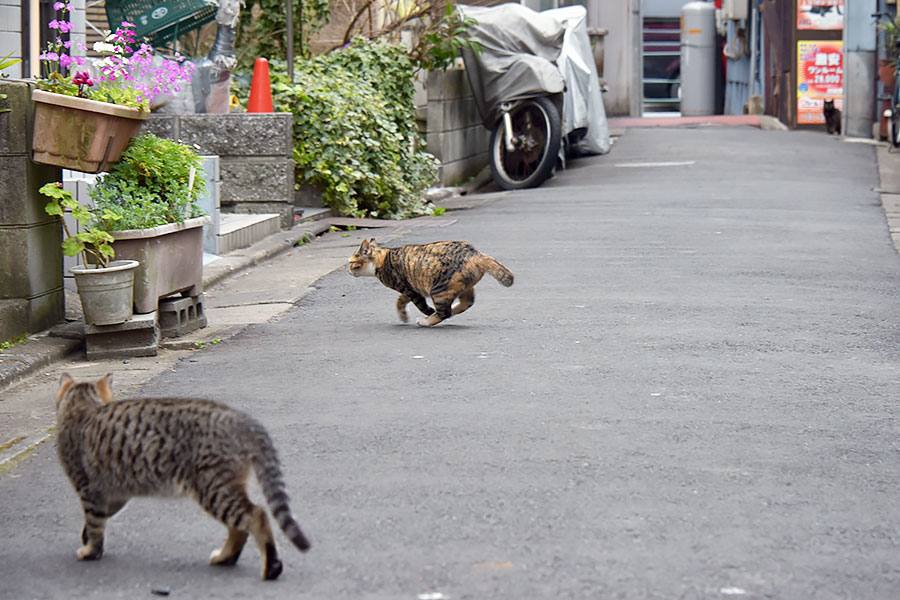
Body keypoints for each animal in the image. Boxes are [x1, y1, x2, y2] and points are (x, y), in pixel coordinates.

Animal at [56, 372, 312, 580]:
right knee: (240, 526)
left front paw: (91, 550)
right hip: (224, 486)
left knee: (255, 515)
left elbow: (95, 523)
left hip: (213, 487)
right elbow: (100, 518)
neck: (82, 407)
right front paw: (87, 537)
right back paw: (226, 557)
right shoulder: (115, 493)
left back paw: (271, 567)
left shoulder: (89, 489)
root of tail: (240, 417)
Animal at [354, 238, 520, 328]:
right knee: (464, 304)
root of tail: (475, 254)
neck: (382, 258)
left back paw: (426, 321)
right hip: (465, 286)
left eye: (351, 263)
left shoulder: (409, 289)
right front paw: (403, 317)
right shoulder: (410, 288)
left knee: (444, 312)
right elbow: (400, 302)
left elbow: (420, 304)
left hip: (439, 290)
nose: (349, 270)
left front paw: (427, 312)